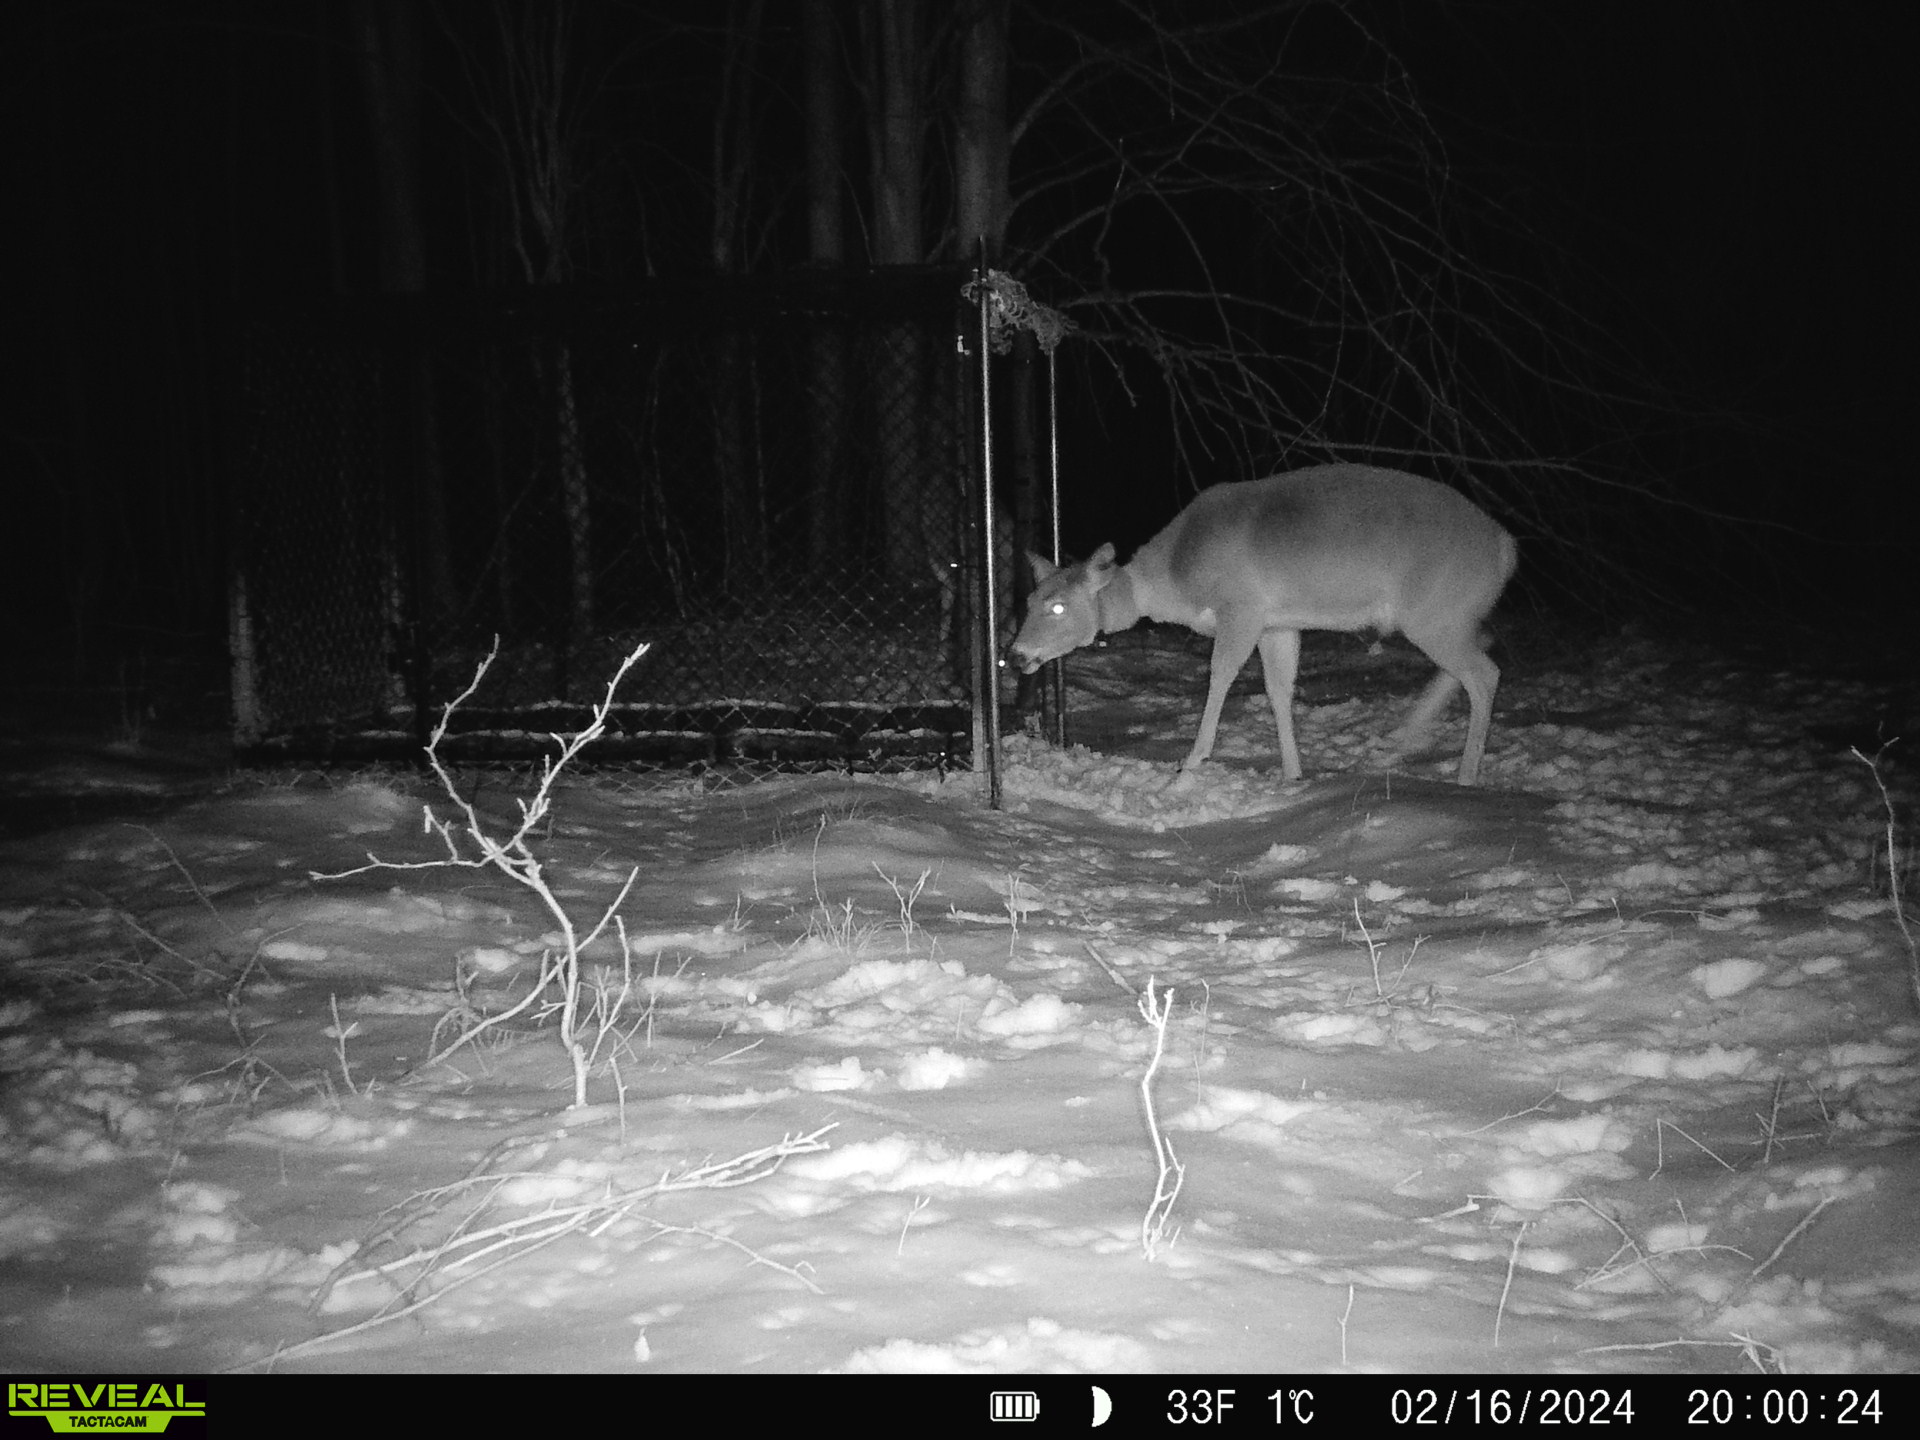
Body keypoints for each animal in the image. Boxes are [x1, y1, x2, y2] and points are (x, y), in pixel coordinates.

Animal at [1013, 470, 1520, 791]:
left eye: (1058, 606)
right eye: (1029, 601)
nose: (1016, 654)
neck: (1177, 575)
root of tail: (1506, 549)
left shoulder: (1243, 608)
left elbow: (1220, 675)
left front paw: (1191, 761)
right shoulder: (1279, 624)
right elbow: (1280, 690)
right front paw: (1293, 774)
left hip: (1434, 611)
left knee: (1486, 673)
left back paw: (1465, 775)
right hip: (1454, 614)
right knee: (1482, 649)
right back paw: (1408, 733)